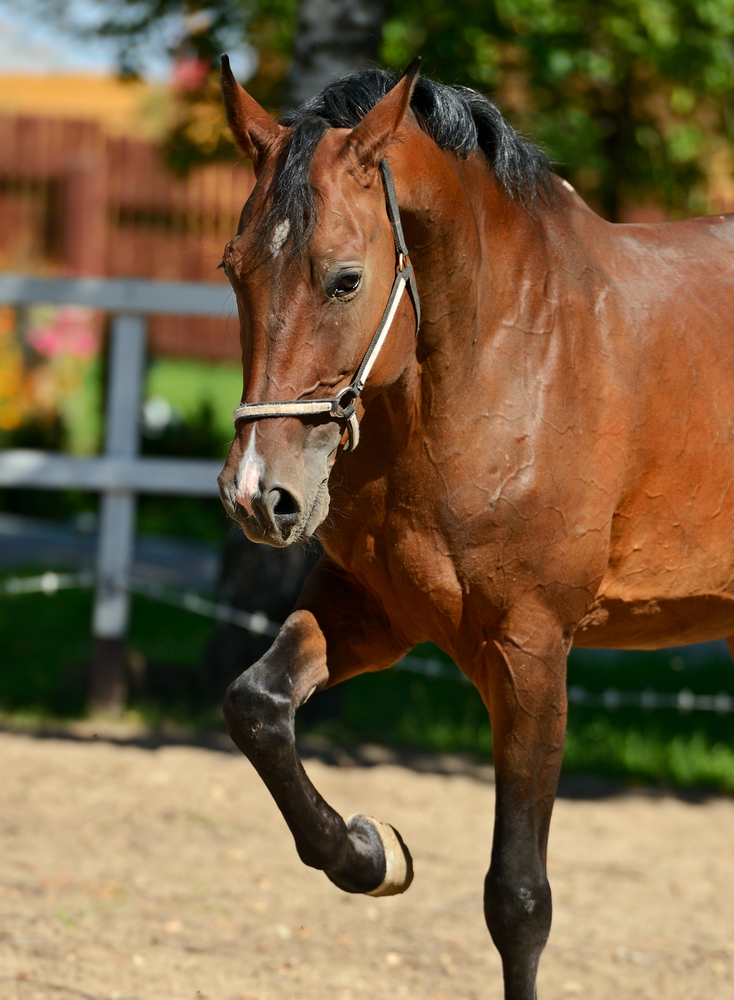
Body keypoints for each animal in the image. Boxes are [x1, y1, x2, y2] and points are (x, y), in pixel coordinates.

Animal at [215, 54, 734, 1000]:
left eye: (345, 278)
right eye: (234, 270)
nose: (257, 497)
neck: (502, 359)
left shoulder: (531, 650)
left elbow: (518, 899)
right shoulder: (375, 611)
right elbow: (258, 705)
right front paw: (371, 852)